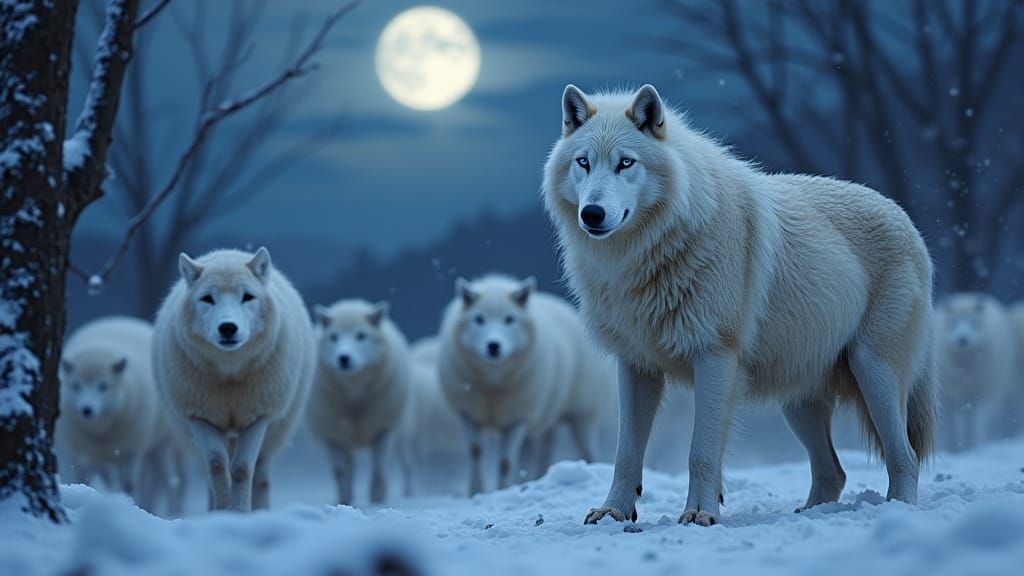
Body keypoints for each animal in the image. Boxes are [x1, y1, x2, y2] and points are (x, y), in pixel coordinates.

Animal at [153, 247, 314, 512]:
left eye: (247, 297)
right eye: (208, 298)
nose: (227, 328)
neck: (229, 375)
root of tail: (228, 252)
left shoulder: (258, 416)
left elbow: (242, 469)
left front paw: (239, 512)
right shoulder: (199, 416)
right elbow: (218, 467)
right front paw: (222, 513)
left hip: (274, 433)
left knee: (261, 474)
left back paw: (261, 511)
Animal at [542, 84, 938, 526]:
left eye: (625, 163)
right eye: (583, 163)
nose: (592, 214)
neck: (644, 255)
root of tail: (908, 222)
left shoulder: (715, 357)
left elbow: (701, 452)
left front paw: (700, 513)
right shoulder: (636, 365)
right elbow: (625, 453)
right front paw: (613, 511)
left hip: (874, 372)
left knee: (905, 456)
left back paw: (897, 510)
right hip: (798, 403)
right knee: (833, 471)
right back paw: (811, 513)